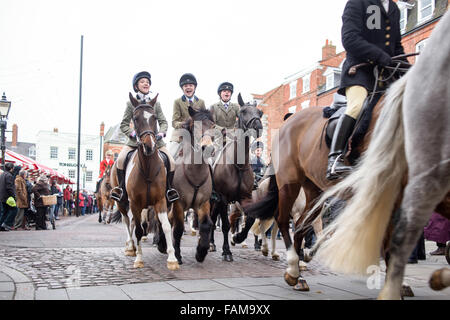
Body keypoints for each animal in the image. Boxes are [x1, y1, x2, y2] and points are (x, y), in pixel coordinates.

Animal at [110, 92, 179, 270]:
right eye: (135, 118)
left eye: (154, 117)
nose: (149, 145)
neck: (148, 169)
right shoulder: (134, 203)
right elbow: (139, 231)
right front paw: (139, 259)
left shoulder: (161, 201)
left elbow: (166, 226)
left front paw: (172, 259)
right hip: (122, 203)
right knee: (128, 222)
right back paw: (130, 248)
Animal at [171, 106, 216, 264]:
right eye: (195, 126)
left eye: (213, 126)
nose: (207, 148)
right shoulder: (177, 203)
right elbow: (178, 228)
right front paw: (177, 255)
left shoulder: (203, 203)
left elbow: (206, 225)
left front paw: (201, 252)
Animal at [210, 93, 266, 262]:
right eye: (243, 111)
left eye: (260, 113)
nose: (257, 127)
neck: (238, 165)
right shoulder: (222, 198)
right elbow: (226, 226)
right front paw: (227, 251)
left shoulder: (246, 197)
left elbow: (251, 219)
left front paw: (238, 237)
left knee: (213, 219)